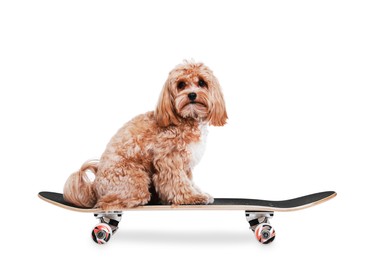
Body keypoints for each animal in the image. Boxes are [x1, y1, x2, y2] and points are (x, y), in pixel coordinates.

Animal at [63, 60, 227, 210]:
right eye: (181, 84)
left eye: (201, 82)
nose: (192, 94)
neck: (186, 119)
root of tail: (94, 187)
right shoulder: (170, 158)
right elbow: (177, 181)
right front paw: (191, 197)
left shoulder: (185, 161)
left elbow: (189, 180)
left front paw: (198, 193)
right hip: (134, 180)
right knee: (106, 202)